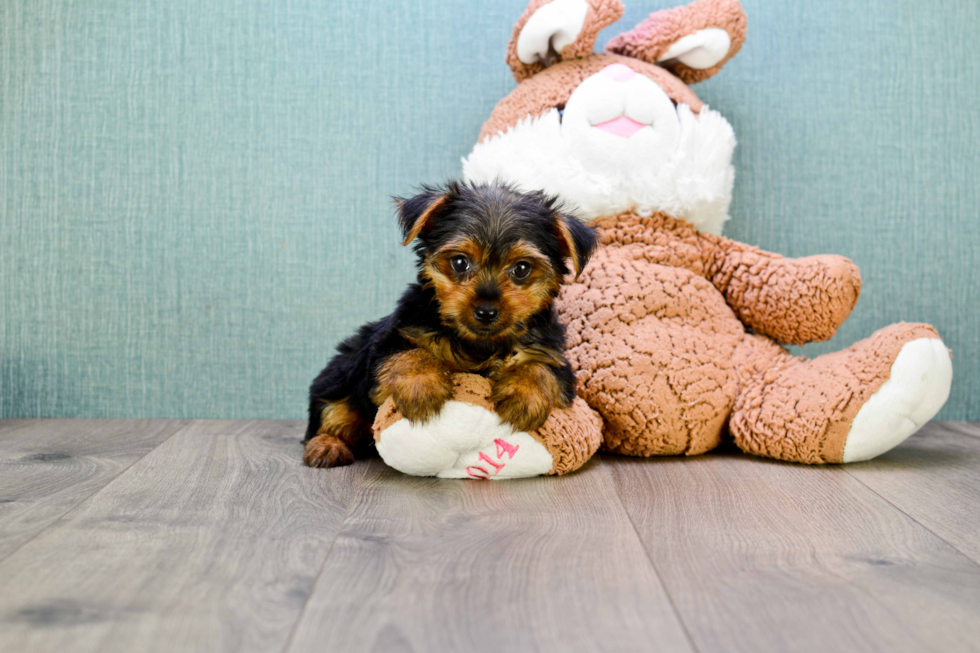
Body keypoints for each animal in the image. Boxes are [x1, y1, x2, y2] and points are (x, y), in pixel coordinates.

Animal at [304, 181, 596, 468]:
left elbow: (542, 368)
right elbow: (408, 353)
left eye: (522, 268)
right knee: (333, 413)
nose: (486, 311)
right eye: (459, 262)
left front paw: (524, 395)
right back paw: (327, 445)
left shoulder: (555, 357)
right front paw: (420, 386)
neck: (479, 343)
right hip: (341, 378)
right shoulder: (388, 343)